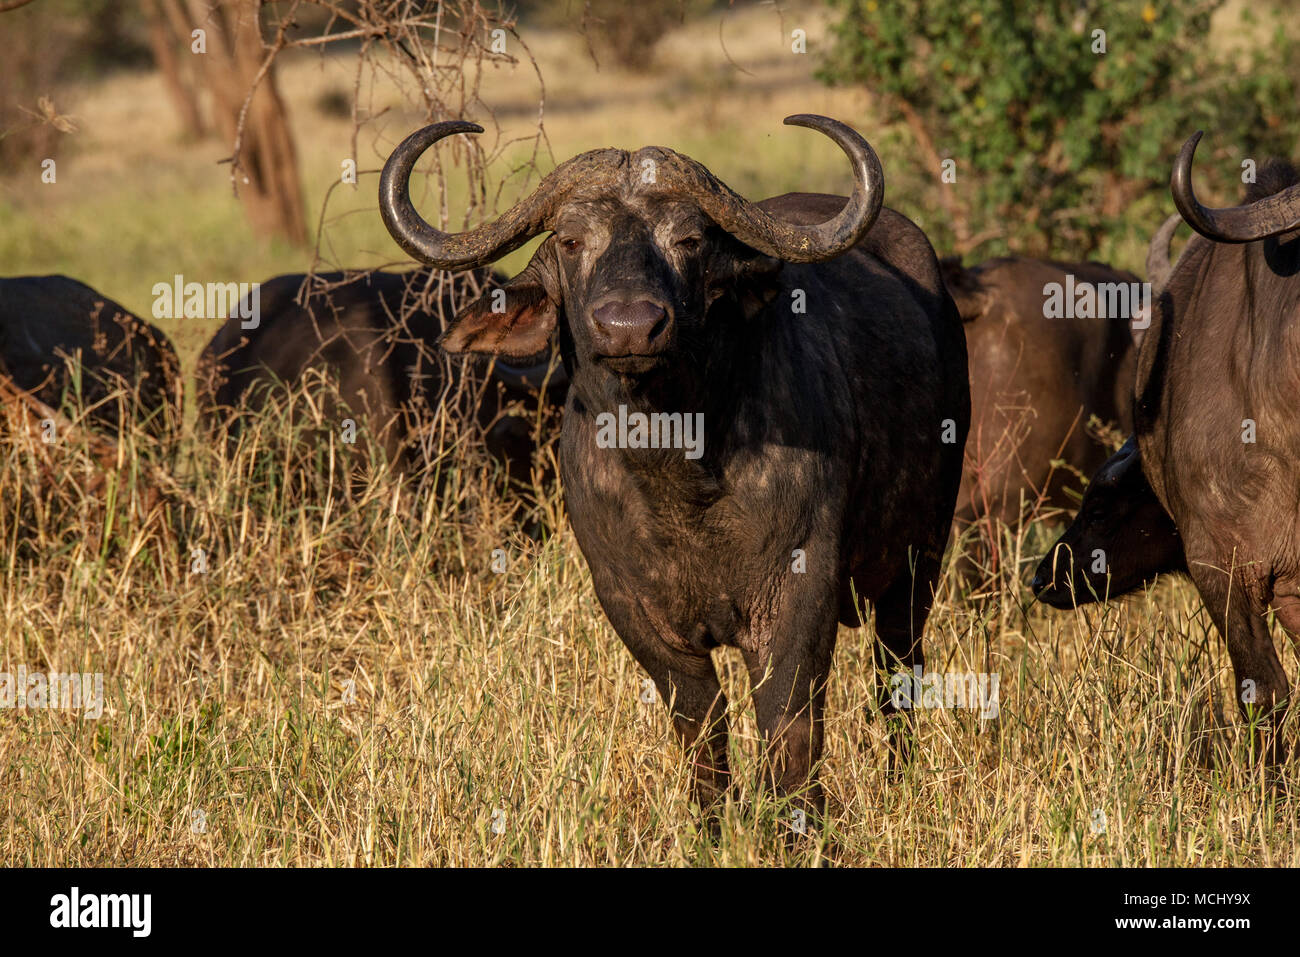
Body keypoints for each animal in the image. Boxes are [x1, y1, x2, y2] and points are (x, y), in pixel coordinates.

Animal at [379, 111, 972, 816]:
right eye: (572, 240)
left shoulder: (801, 590)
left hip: (919, 560)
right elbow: (700, 726)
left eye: (688, 240)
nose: (629, 326)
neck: (679, 472)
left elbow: (787, 722)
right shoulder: (632, 607)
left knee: (897, 674)